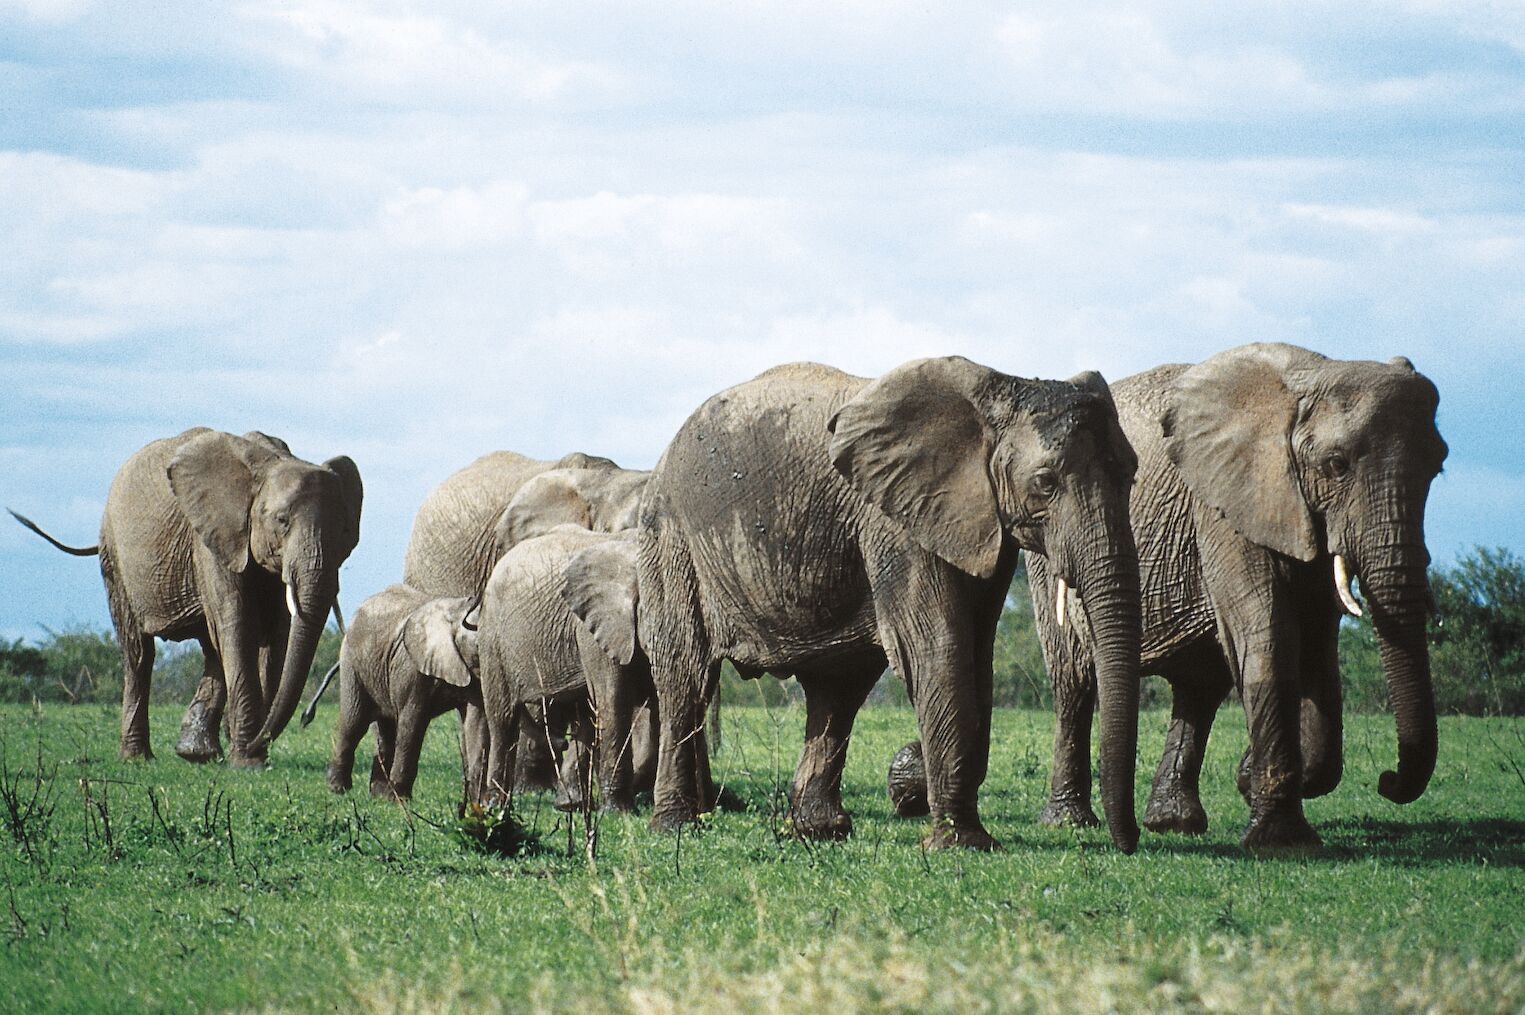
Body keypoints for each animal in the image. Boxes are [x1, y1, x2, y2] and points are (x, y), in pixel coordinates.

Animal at [9, 426, 359, 768]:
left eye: (344, 530)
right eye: (282, 521)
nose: (306, 718)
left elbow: (275, 636)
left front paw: (246, 751)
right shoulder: (212, 541)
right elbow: (239, 626)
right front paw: (249, 762)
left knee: (211, 646)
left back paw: (197, 753)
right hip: (115, 558)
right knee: (139, 653)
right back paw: (139, 758)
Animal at [326, 585, 475, 798]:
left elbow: (472, 722)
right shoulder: (411, 668)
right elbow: (412, 723)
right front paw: (398, 798)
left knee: (386, 729)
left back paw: (378, 794)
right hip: (352, 663)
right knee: (354, 723)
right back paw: (339, 789)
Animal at [478, 524, 658, 810]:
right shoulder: (591, 628)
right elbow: (613, 698)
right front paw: (618, 811)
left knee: (584, 714)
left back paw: (570, 804)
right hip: (493, 638)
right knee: (503, 718)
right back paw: (495, 807)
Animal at [634, 355, 1146, 847]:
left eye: (1131, 476)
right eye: (1045, 482)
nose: (1130, 841)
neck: (998, 387)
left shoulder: (979, 523)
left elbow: (977, 656)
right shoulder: (898, 521)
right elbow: (939, 648)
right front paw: (962, 844)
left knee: (838, 688)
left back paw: (820, 832)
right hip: (670, 541)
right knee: (685, 675)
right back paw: (675, 828)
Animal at [1024, 344, 1439, 847]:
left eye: (1437, 466)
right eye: (1336, 465)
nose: (1387, 780)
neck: (1309, 379)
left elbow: (1319, 649)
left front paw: (1254, 783)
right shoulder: (1225, 503)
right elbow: (1271, 632)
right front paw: (1281, 841)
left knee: (1200, 687)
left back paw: (1173, 823)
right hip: (1047, 552)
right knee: (1073, 682)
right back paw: (1070, 821)